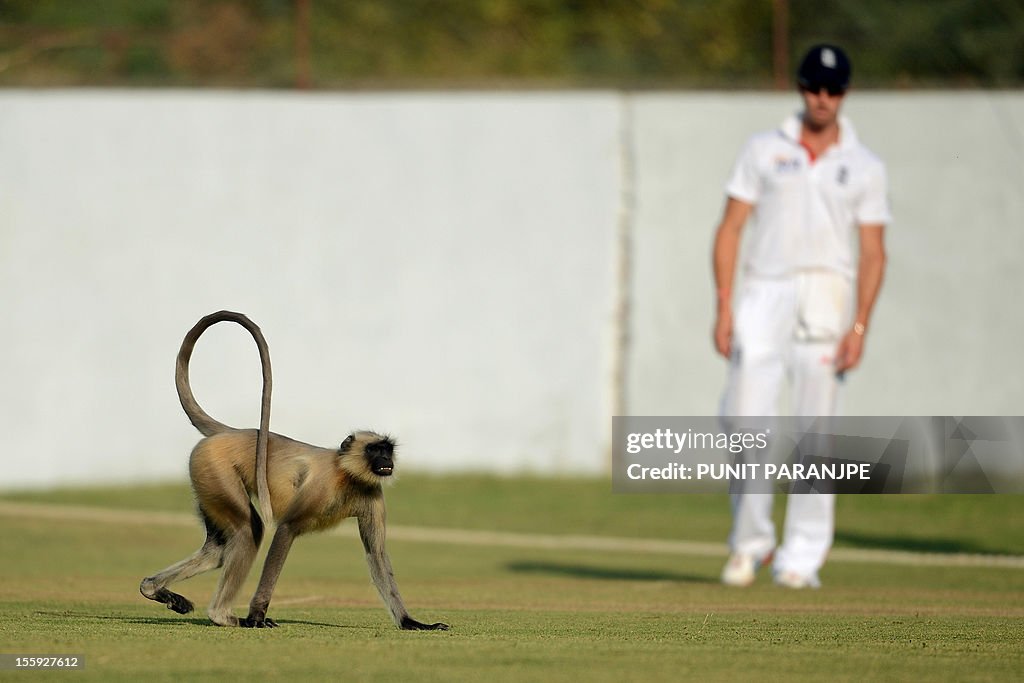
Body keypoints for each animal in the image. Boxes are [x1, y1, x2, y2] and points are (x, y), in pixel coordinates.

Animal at [140, 309, 448, 630]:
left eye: (387, 449)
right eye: (374, 450)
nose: (386, 460)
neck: (347, 475)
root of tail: (232, 432)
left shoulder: (372, 492)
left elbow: (375, 554)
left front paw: (412, 622)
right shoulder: (322, 485)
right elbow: (285, 529)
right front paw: (257, 615)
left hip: (206, 479)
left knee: (217, 551)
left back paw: (154, 588)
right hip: (214, 468)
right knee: (249, 531)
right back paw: (222, 615)